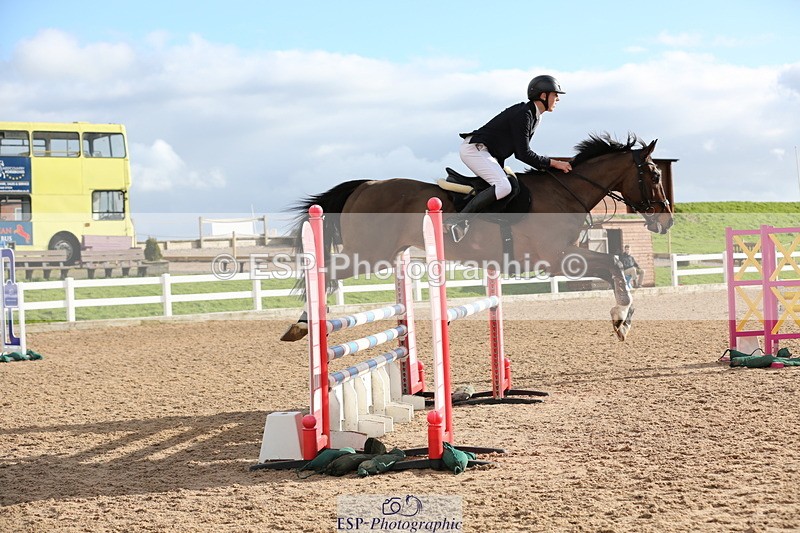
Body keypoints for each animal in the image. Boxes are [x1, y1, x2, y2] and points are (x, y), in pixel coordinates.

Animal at [280, 133, 673, 342]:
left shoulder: (567, 255)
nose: (666, 221)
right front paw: (621, 317)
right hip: (368, 253)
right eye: (654, 175)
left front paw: (625, 318)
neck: (565, 192)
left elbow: (615, 267)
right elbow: (613, 265)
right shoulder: (558, 258)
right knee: (326, 274)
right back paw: (302, 324)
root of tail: (365, 185)